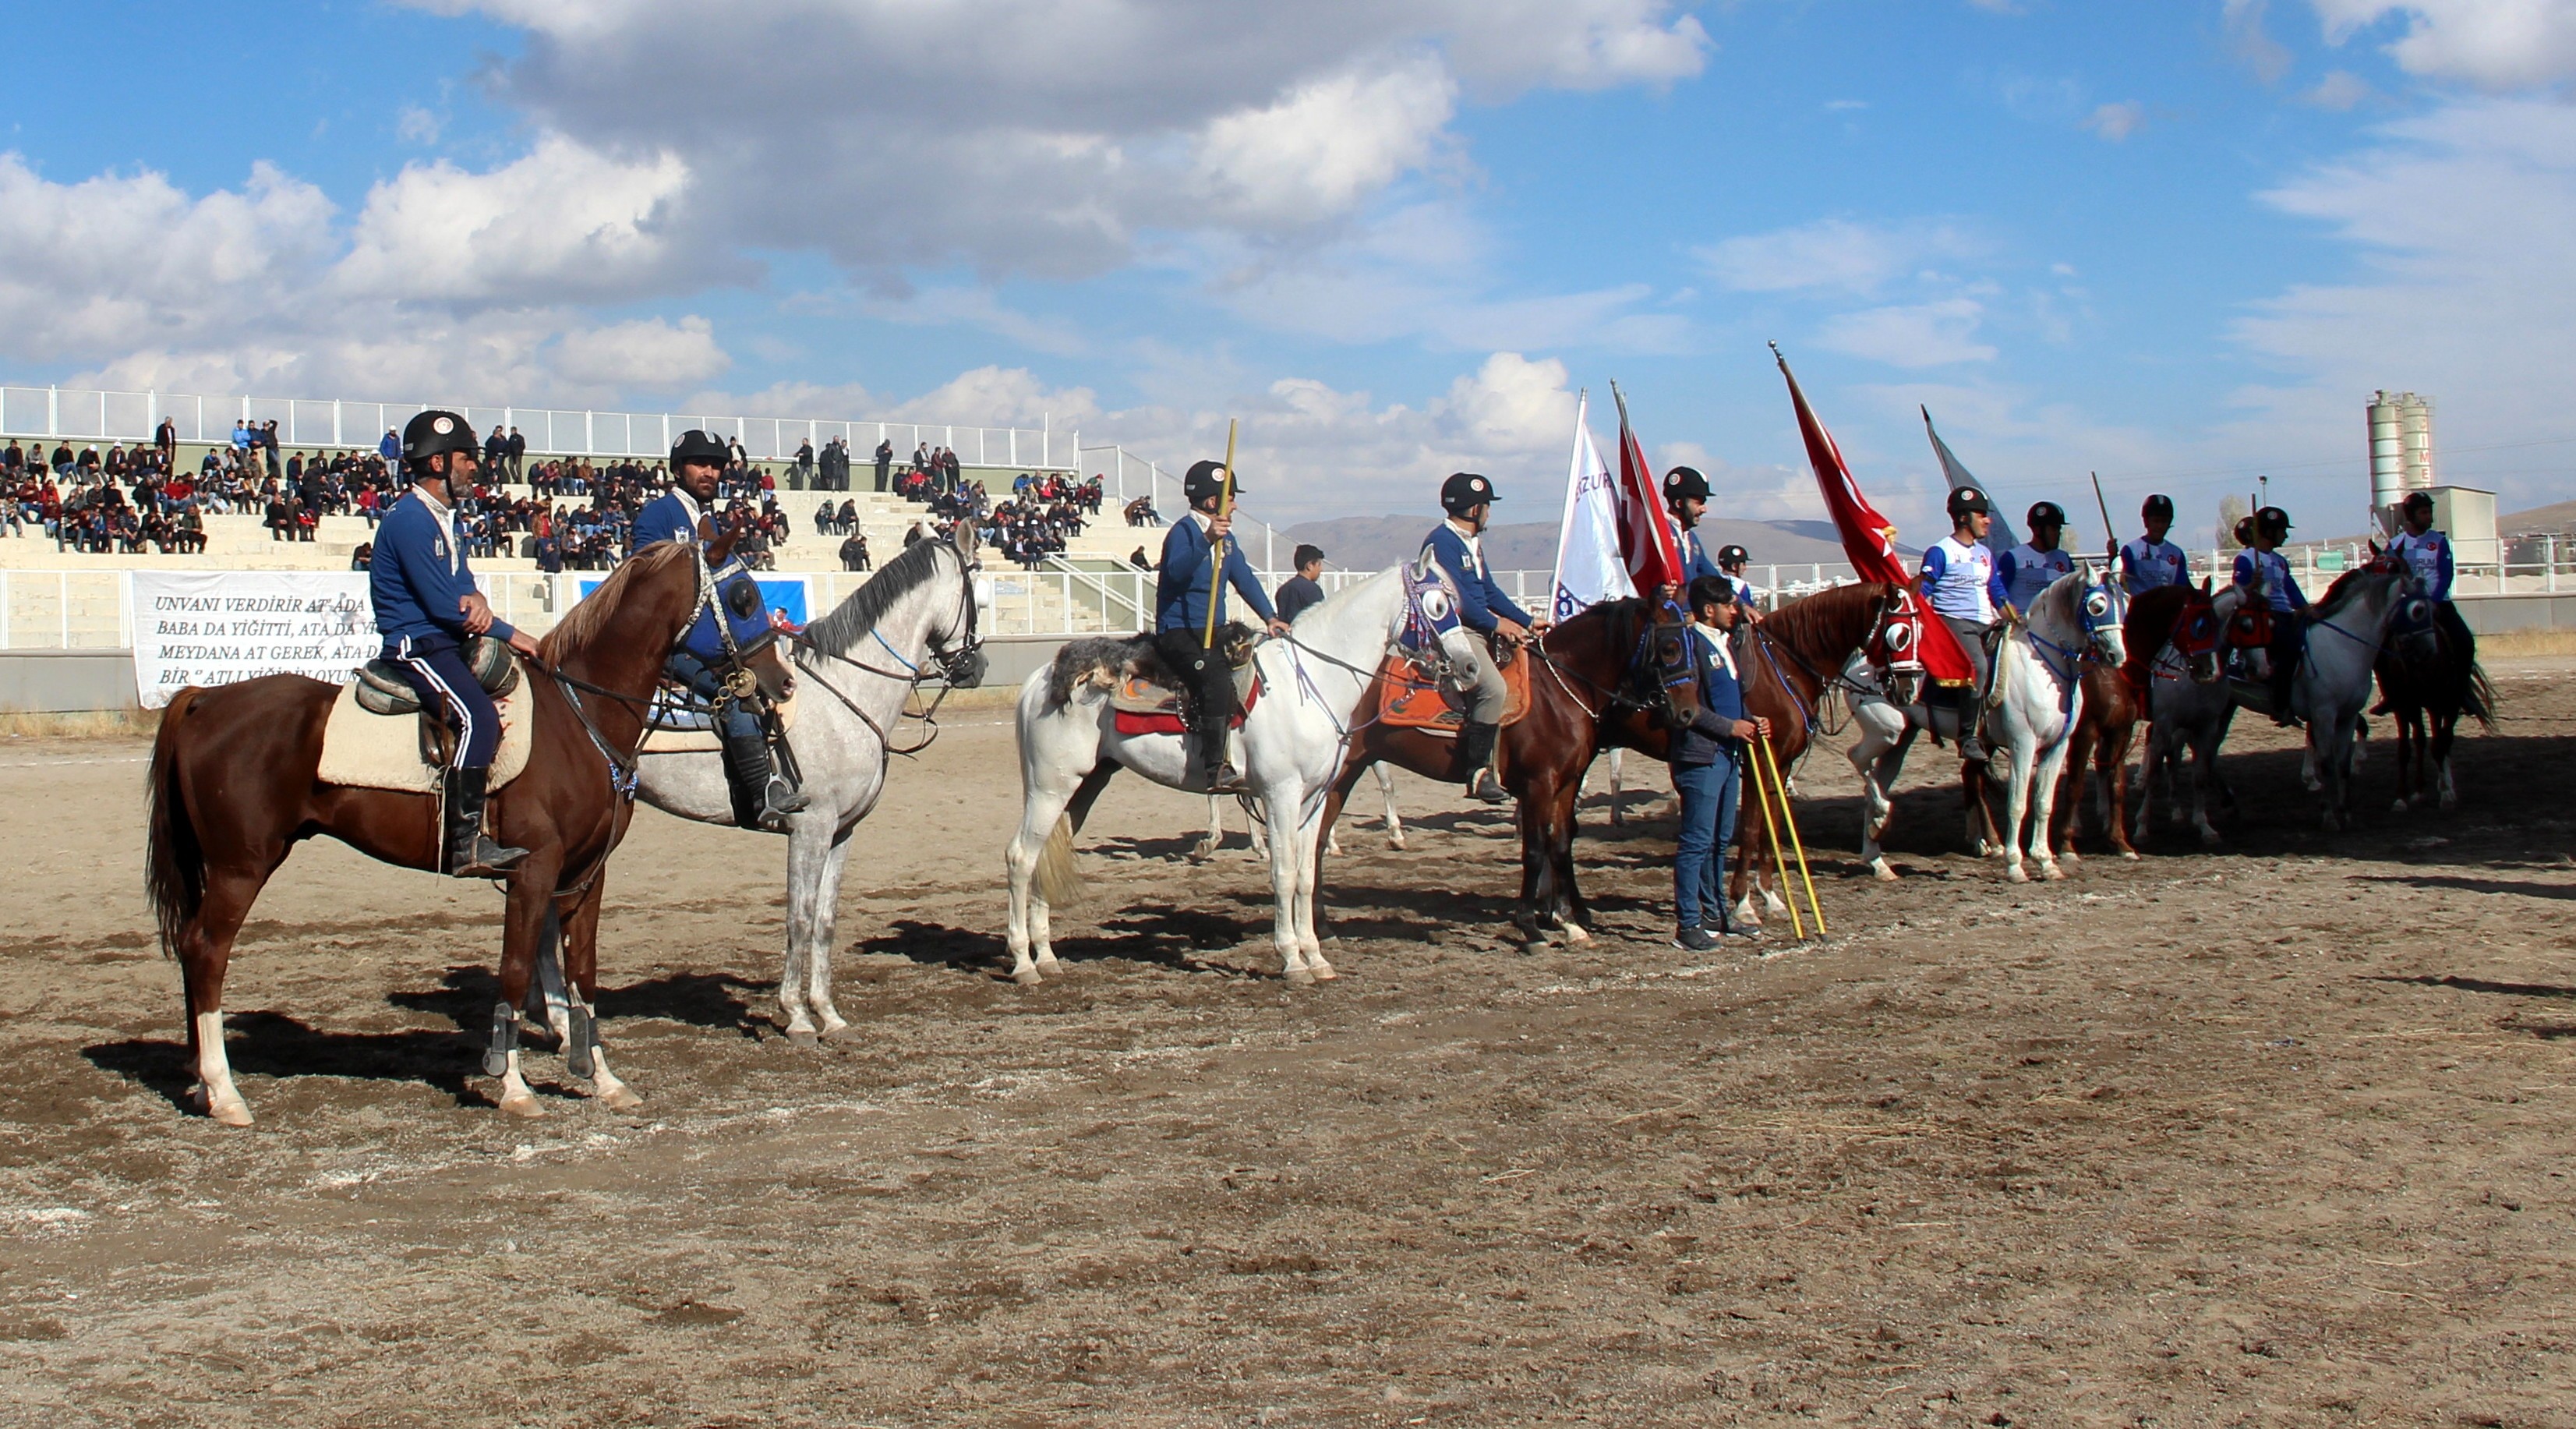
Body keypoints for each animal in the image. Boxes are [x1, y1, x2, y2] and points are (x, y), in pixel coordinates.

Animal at [140, 540, 778, 1127]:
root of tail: (204, 698)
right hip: (241, 865)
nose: (780, 682)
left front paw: (603, 1078)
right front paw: (514, 1086)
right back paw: (225, 1092)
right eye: (745, 597)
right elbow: (516, 972)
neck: (578, 718)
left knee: (193, 951)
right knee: (207, 951)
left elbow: (583, 973)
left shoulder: (584, 875)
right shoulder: (533, 871)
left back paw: (201, 1084)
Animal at [618, 530, 989, 1045]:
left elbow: (825, 921)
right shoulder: (810, 828)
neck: (845, 689)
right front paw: (795, 1016)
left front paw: (828, 1015)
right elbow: (799, 915)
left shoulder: (841, 832)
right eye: (977, 587)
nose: (978, 667)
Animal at [1009, 564, 1483, 989]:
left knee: (1046, 857)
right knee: (1021, 858)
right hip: (1050, 787)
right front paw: (1292, 960)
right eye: (1438, 606)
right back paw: (1024, 963)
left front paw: (1316, 957)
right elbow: (1284, 873)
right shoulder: (1280, 794)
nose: (1470, 668)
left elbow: (1307, 875)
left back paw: (1047, 957)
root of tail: (1040, 680)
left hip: (1084, 786)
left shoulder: (1313, 799)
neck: (1307, 685)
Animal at [1308, 597, 1710, 947]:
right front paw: (1531, 927)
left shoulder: (1565, 786)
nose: (1689, 713)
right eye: (1671, 648)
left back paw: (1322, 928)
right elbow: (1534, 851)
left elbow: (1560, 845)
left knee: (1316, 842)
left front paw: (1569, 922)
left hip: (1343, 778)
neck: (1559, 691)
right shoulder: (1538, 787)